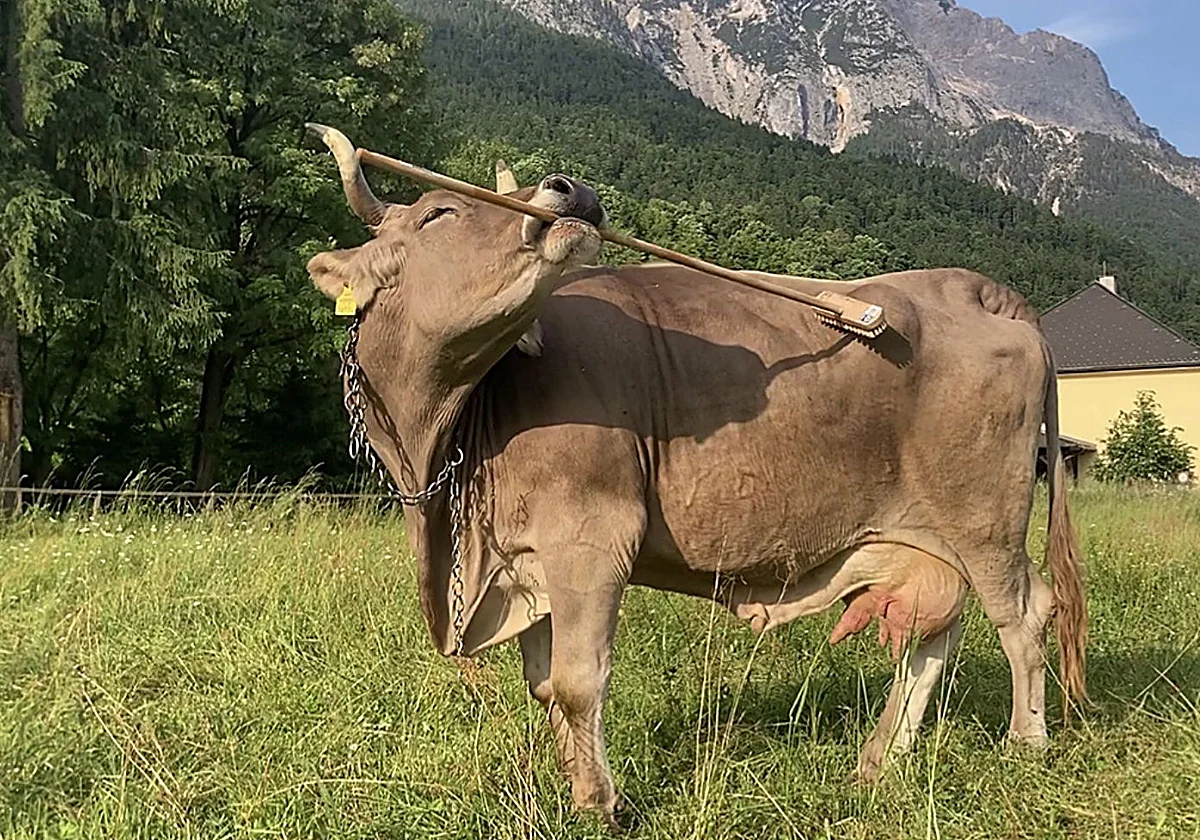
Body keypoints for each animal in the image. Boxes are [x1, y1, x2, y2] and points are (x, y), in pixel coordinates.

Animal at [304, 125, 1086, 829]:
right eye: (438, 213)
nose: (571, 189)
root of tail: (971, 287)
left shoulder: (590, 539)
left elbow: (578, 683)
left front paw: (600, 805)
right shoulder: (524, 560)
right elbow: (545, 686)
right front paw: (575, 788)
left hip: (984, 518)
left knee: (1023, 614)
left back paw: (1024, 742)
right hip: (927, 534)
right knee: (936, 631)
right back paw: (879, 759)